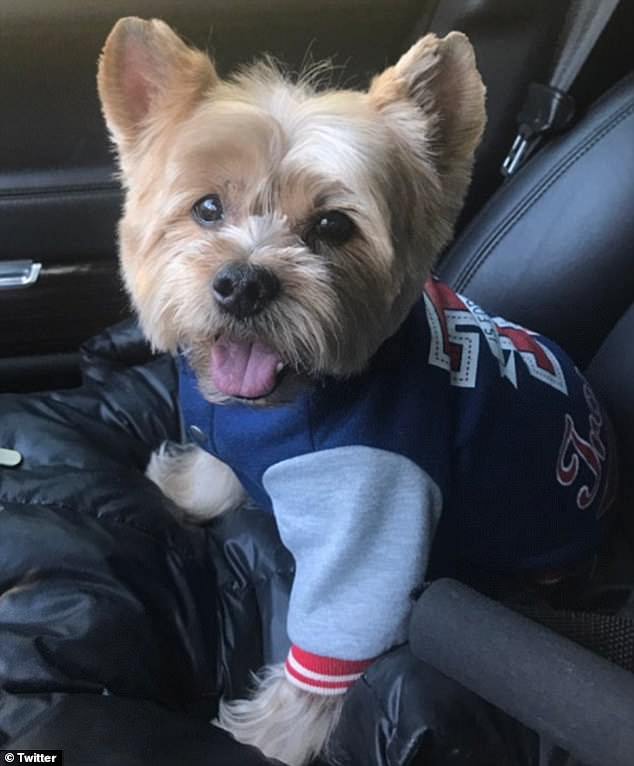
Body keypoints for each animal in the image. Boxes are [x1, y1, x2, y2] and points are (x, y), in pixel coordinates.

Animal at [96, 18, 616, 766]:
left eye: (333, 226)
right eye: (207, 208)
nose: (242, 283)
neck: (289, 401)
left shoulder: (376, 495)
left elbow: (336, 634)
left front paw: (270, 737)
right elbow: (219, 469)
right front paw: (190, 486)